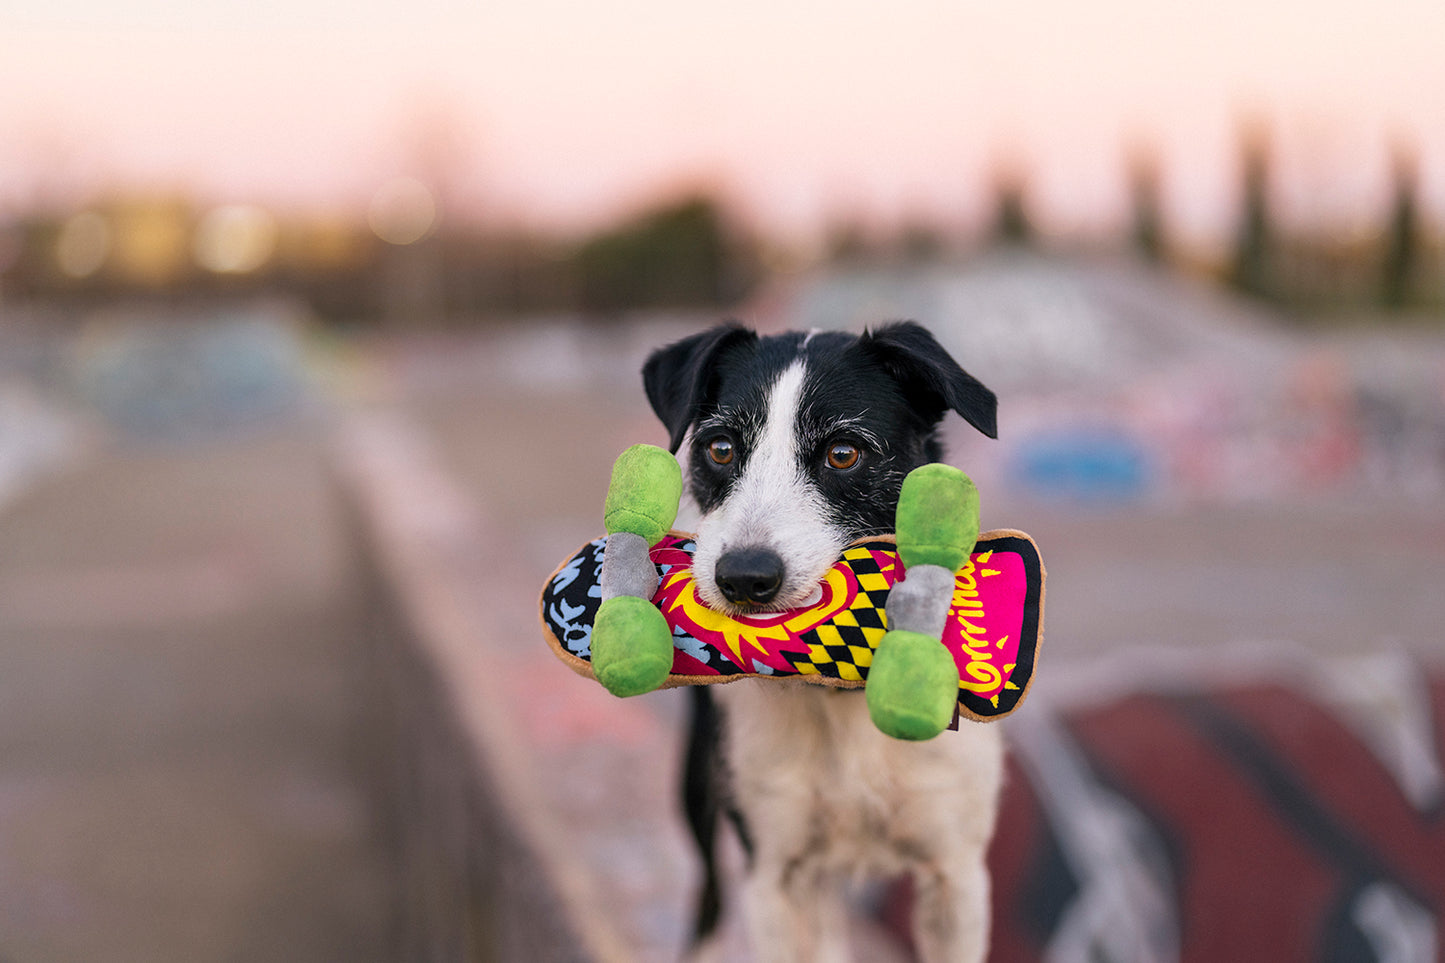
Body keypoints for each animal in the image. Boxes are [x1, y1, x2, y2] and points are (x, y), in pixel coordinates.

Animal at [644, 321, 1005, 960]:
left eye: (843, 453)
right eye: (720, 448)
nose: (744, 577)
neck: (839, 692)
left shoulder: (956, 876)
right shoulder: (775, 873)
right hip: (702, 789)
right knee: (710, 896)